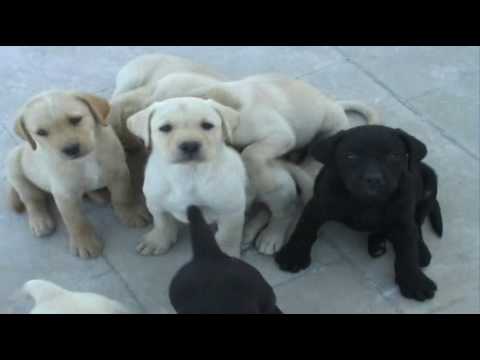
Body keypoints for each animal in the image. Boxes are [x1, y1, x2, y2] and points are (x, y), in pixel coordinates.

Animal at [5, 91, 151, 258]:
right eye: (41, 132)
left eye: (75, 119)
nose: (71, 149)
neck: (85, 160)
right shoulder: (65, 194)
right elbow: (76, 221)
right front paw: (84, 242)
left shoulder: (119, 173)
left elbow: (123, 197)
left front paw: (130, 213)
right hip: (14, 165)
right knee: (32, 200)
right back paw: (39, 221)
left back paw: (99, 195)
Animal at [125, 97, 249, 258]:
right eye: (165, 128)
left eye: (207, 125)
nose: (190, 145)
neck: (188, 172)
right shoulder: (156, 203)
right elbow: (162, 223)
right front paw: (158, 241)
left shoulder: (231, 211)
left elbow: (228, 236)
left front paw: (226, 254)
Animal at [188, 74, 382, 253]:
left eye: (206, 126)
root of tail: (336, 105)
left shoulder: (280, 135)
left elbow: (250, 152)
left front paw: (265, 181)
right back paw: (250, 233)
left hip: (323, 137)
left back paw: (269, 235)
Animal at [276, 126, 444, 300]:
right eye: (351, 156)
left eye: (393, 156)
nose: (373, 180)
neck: (366, 202)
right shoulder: (317, 206)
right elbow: (304, 230)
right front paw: (294, 255)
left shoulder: (403, 220)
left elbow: (408, 250)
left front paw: (414, 280)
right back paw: (377, 243)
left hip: (430, 185)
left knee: (417, 224)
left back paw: (420, 251)